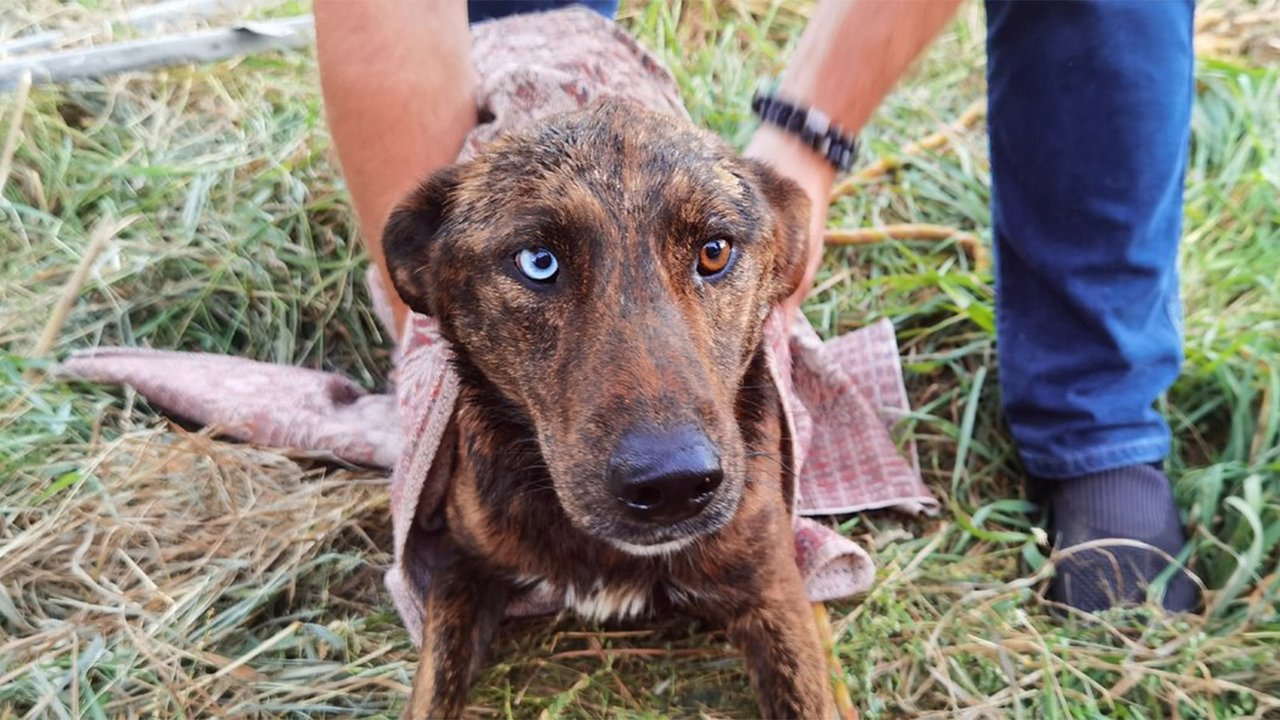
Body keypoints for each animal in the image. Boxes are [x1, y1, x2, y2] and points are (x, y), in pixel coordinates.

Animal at [384, 101, 834, 717]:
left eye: (714, 251)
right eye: (538, 261)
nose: (673, 484)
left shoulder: (773, 591)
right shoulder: (461, 561)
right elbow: (430, 695)